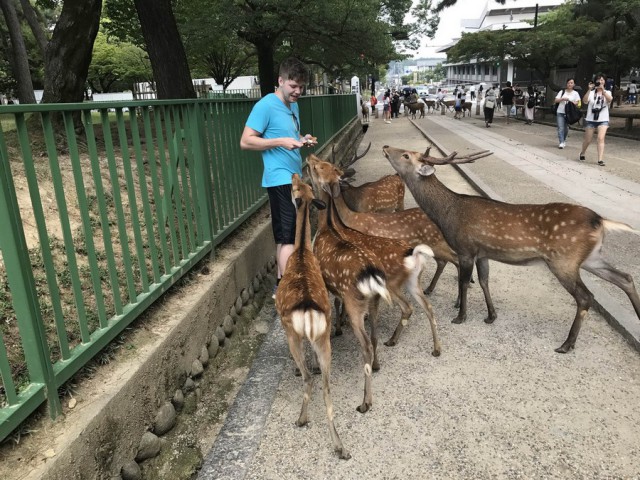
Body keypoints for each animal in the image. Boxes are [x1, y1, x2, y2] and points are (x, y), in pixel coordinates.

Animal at [272, 174, 348, 460]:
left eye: (295, 188)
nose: (294, 175)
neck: (302, 251)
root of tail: (307, 309)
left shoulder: (289, 330)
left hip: (293, 334)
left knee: (308, 378)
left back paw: (301, 418)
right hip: (324, 339)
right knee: (326, 387)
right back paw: (340, 446)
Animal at [306, 155, 440, 356]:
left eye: (319, 167)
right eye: (325, 164)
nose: (309, 157)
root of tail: (414, 254)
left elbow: (338, 302)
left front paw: (339, 326)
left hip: (392, 283)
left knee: (408, 308)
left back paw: (391, 340)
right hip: (412, 281)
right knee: (429, 307)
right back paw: (436, 348)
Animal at [382, 145, 640, 352]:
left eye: (406, 154)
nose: (385, 146)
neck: (447, 214)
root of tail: (600, 220)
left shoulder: (466, 249)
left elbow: (464, 282)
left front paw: (460, 316)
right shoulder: (483, 252)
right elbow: (484, 280)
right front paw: (490, 316)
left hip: (563, 261)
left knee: (586, 297)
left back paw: (567, 344)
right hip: (591, 257)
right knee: (625, 277)